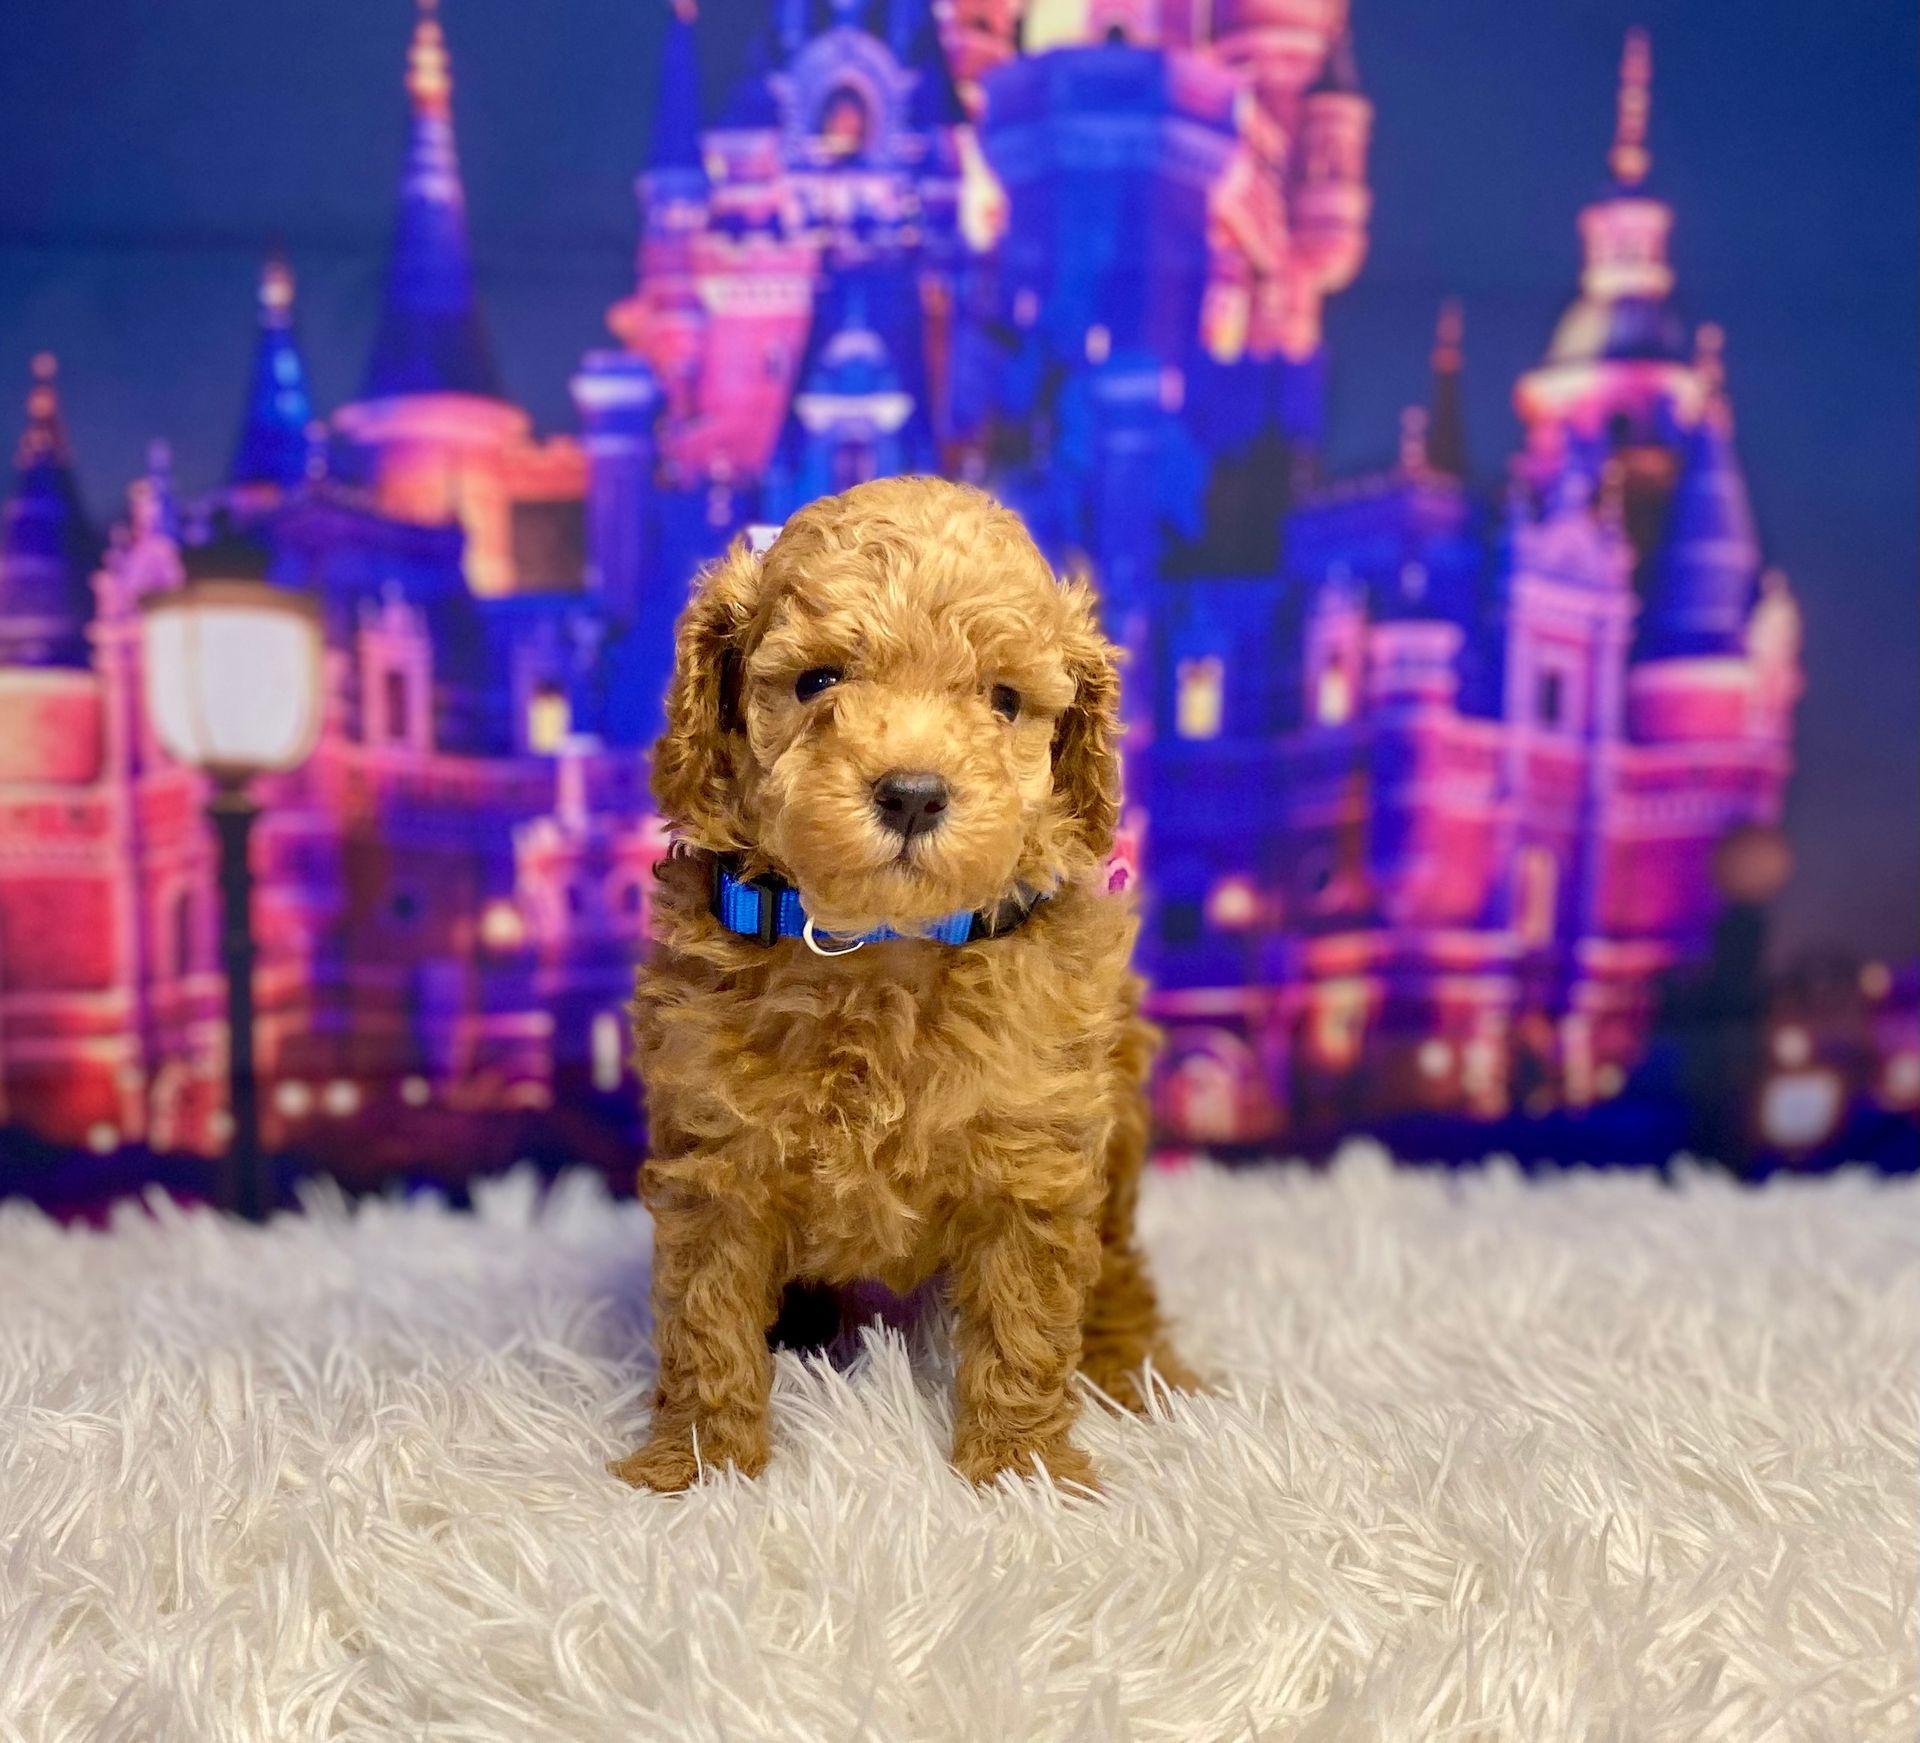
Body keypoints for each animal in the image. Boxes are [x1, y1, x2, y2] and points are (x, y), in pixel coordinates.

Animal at [606, 476, 1190, 1497]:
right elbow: (707, 1313)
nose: (914, 792)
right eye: (818, 682)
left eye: (1003, 699)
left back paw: (1135, 1363)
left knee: (1115, 1263)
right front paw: (701, 1464)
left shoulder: (1034, 1147)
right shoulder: (716, 1150)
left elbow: (1027, 1314)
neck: (877, 942)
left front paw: (1021, 1466)